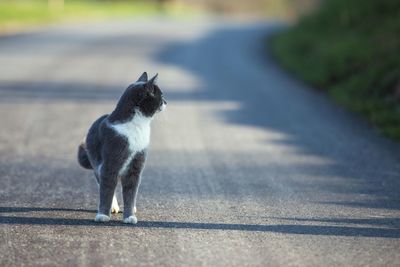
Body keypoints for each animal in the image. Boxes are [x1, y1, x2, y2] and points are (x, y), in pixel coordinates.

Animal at [77, 73, 166, 224]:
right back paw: (113, 207)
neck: (138, 125)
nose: (166, 102)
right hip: (97, 165)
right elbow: (107, 190)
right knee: (104, 185)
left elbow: (130, 192)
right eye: (161, 95)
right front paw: (103, 215)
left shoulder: (136, 166)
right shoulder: (110, 163)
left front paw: (130, 216)